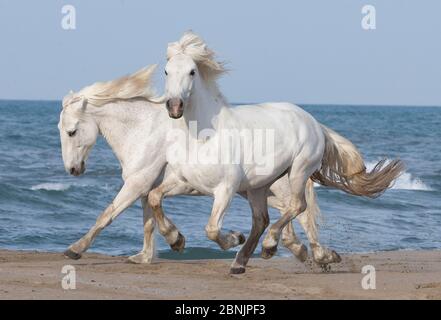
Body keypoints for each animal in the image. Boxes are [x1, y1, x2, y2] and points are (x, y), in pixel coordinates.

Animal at [150, 31, 404, 272]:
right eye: (166, 71)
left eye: (192, 72)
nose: (174, 106)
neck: (203, 136)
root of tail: (313, 122)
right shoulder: (185, 181)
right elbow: (154, 197)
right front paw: (176, 240)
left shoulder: (225, 189)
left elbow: (211, 229)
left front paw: (233, 238)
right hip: (257, 187)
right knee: (262, 219)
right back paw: (243, 262)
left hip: (298, 171)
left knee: (296, 207)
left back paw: (272, 246)